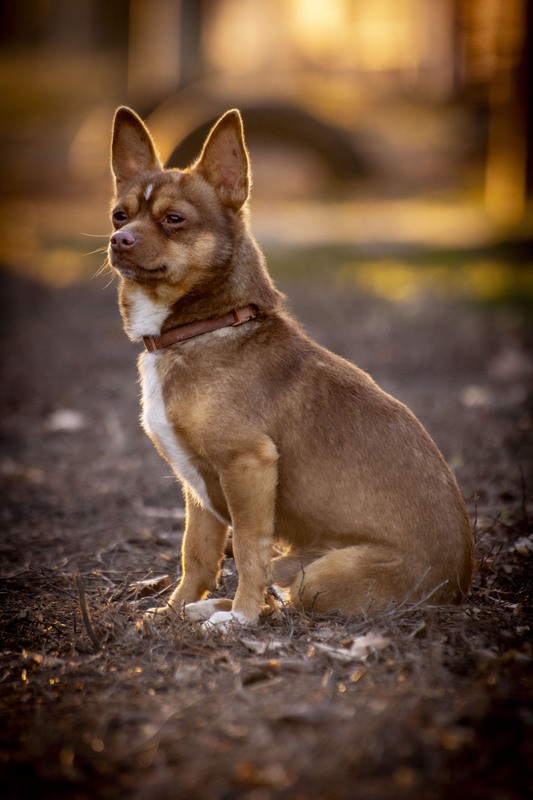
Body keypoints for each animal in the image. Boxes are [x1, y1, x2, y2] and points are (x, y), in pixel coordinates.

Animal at [108, 108, 474, 632]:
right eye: (120, 215)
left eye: (174, 220)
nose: (118, 240)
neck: (204, 328)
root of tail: (458, 585)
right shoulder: (197, 491)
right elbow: (196, 555)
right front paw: (173, 612)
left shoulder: (248, 465)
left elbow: (246, 547)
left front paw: (241, 619)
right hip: (296, 560)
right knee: (274, 584)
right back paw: (207, 608)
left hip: (318, 576)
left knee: (285, 593)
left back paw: (234, 613)